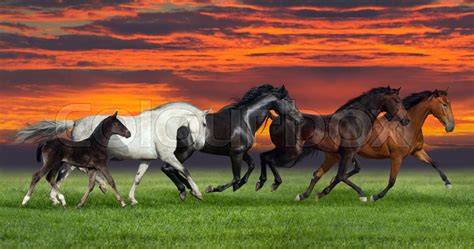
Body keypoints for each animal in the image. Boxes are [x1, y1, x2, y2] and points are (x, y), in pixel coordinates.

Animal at [16, 101, 209, 204]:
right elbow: (185, 170)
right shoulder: (168, 156)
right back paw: (100, 186)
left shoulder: (147, 159)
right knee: (75, 171)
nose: (200, 144)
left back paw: (56, 199)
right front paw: (197, 194)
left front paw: (132, 200)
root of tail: (76, 122)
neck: (162, 125)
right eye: (205, 123)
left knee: (61, 175)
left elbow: (138, 178)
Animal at [157, 84, 302, 197]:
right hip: (184, 151)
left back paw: (190, 188)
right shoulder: (236, 153)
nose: (299, 119)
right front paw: (213, 188)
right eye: (289, 100)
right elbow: (236, 177)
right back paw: (185, 191)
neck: (245, 119)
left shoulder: (242, 152)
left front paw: (251, 184)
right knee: (168, 168)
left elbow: (251, 165)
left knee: (173, 169)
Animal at [256, 86, 412, 201]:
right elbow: (340, 175)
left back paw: (263, 183)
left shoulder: (348, 152)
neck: (354, 121)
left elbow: (350, 171)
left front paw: (306, 195)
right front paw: (362, 195)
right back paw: (272, 184)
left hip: (283, 148)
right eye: (397, 100)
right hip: (291, 151)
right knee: (268, 158)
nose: (406, 120)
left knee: (264, 156)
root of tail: (276, 117)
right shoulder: (348, 153)